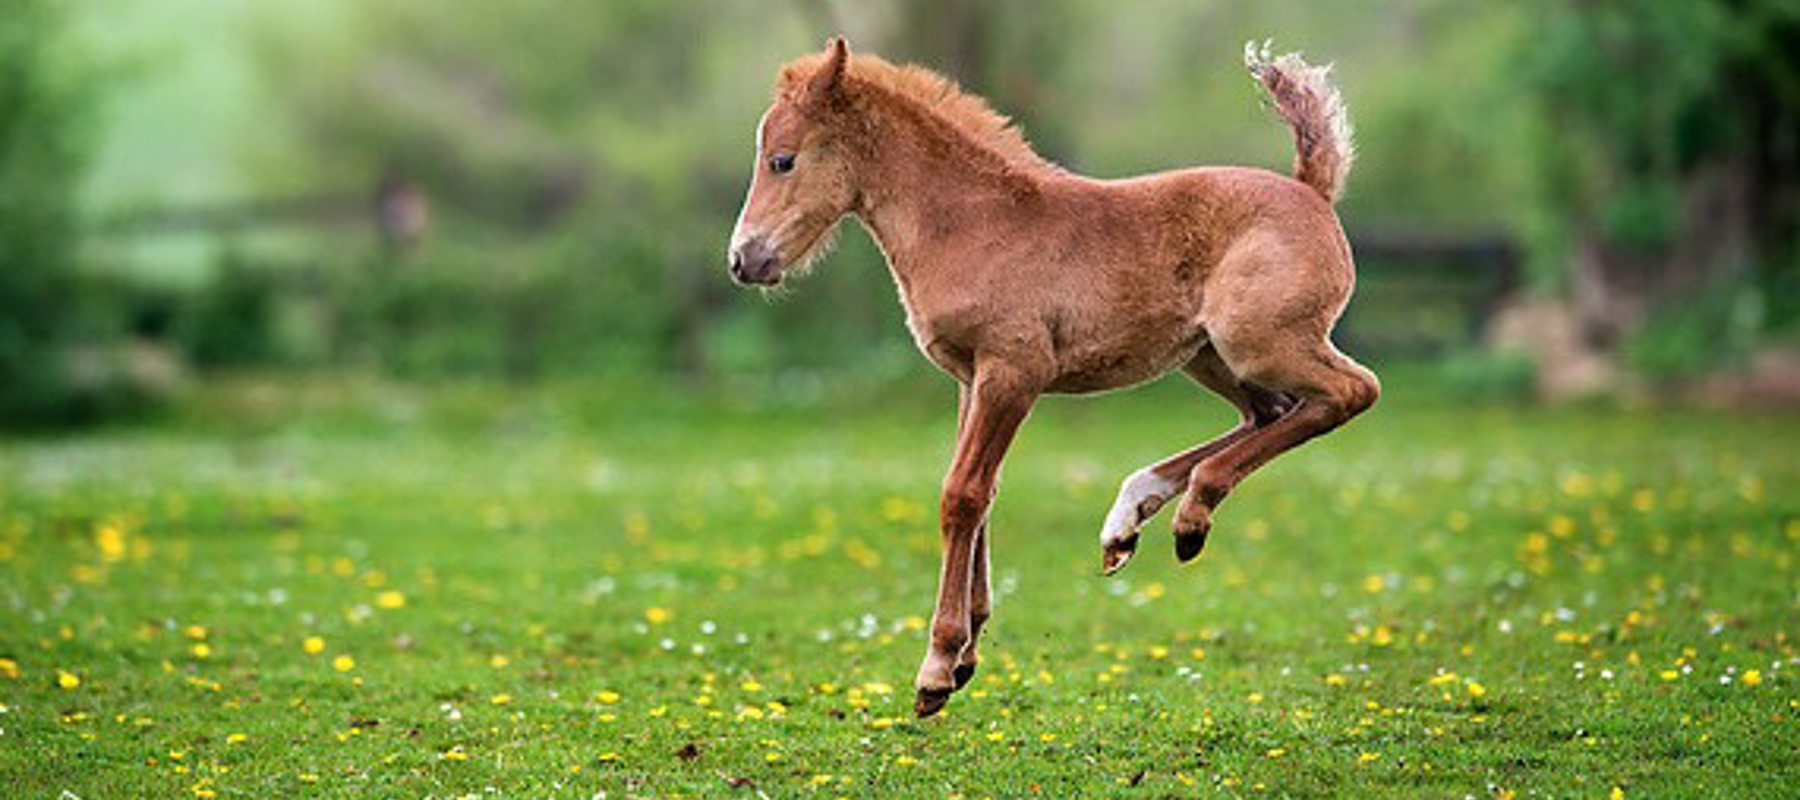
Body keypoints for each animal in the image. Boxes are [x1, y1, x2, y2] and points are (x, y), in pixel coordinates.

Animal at [727, 37, 1375, 717]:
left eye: (781, 160)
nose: (745, 260)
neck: (972, 225)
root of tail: (1312, 192)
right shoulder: (969, 378)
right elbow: (979, 493)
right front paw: (967, 654)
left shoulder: (1013, 373)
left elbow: (962, 495)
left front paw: (937, 667)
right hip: (1208, 356)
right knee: (1271, 412)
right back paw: (1133, 516)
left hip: (1257, 344)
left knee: (1352, 392)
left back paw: (1189, 515)